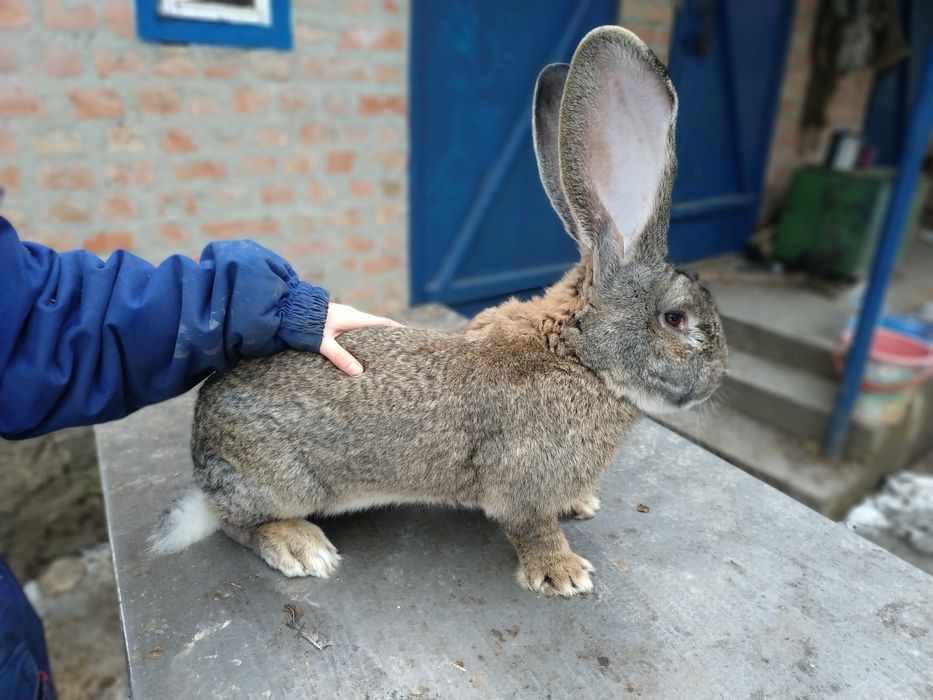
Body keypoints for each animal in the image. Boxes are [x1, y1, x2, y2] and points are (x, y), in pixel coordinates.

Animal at [151, 27, 728, 596]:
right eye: (676, 319)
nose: (718, 378)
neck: (580, 354)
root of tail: (202, 444)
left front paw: (580, 505)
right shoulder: (519, 484)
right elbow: (532, 527)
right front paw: (563, 573)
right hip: (284, 483)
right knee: (239, 524)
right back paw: (301, 547)